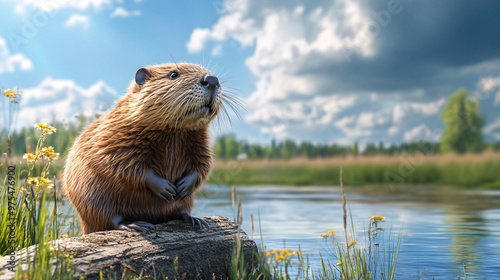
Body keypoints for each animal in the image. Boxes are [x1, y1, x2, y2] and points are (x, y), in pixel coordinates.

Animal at [64, 63, 227, 234]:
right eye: (173, 74)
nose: (212, 80)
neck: (175, 133)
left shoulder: (200, 141)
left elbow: (203, 164)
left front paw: (183, 187)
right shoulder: (112, 135)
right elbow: (121, 163)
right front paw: (166, 188)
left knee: (182, 211)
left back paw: (196, 220)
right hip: (91, 197)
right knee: (111, 219)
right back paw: (135, 224)